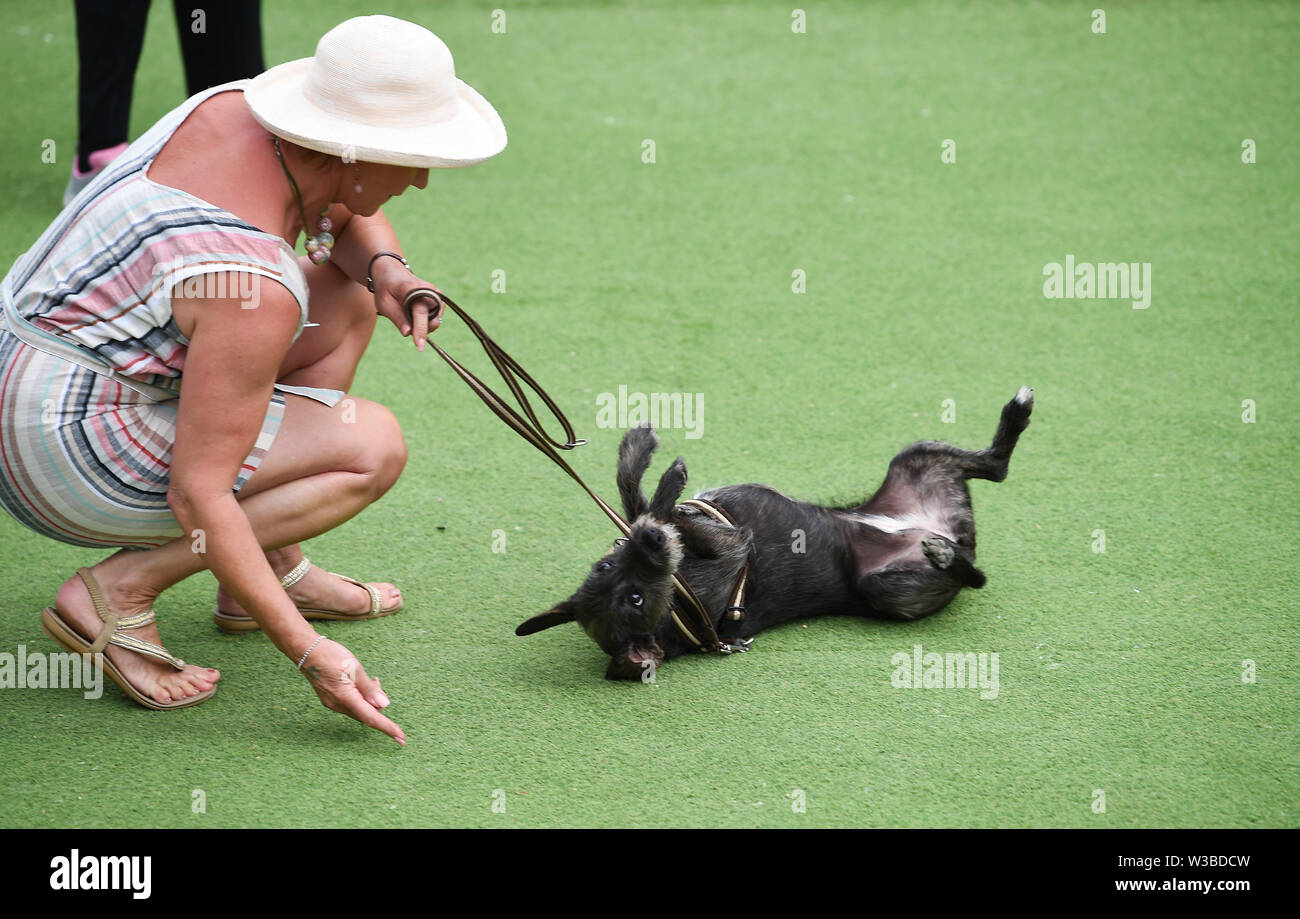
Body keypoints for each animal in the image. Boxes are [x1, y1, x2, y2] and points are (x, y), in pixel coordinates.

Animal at [512, 384, 1029, 681]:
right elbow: (658, 511)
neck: (680, 598)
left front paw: (639, 449)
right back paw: (945, 554)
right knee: (974, 573)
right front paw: (665, 490)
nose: (650, 544)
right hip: (886, 587)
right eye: (634, 600)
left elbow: (634, 496)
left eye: (605, 566)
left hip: (915, 457)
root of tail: (956, 534)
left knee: (996, 466)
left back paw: (1015, 415)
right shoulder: (733, 546)